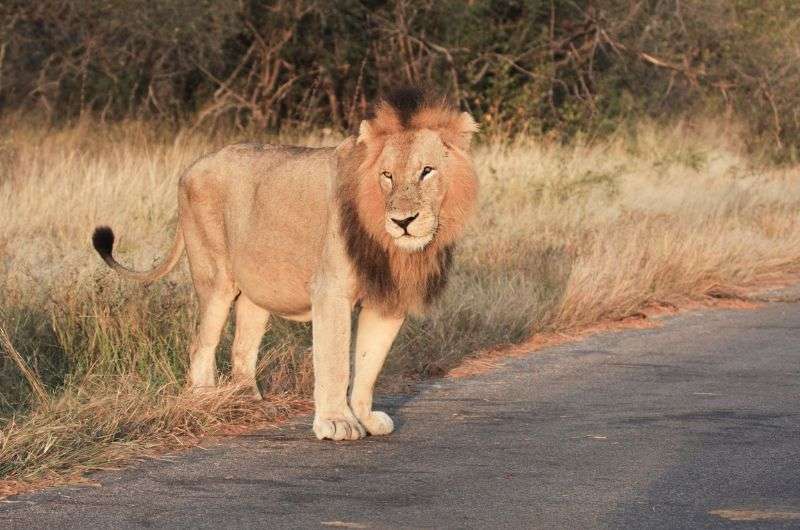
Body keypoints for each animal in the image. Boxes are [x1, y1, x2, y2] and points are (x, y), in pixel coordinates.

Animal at [94, 88, 482, 440]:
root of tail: (191, 167)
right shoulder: (331, 291)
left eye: (427, 171)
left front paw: (365, 418)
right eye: (387, 175)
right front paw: (337, 423)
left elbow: (369, 364)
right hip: (216, 279)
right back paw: (206, 402)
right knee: (201, 345)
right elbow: (335, 361)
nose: (403, 221)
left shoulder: (387, 299)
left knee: (241, 348)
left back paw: (249, 403)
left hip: (257, 290)